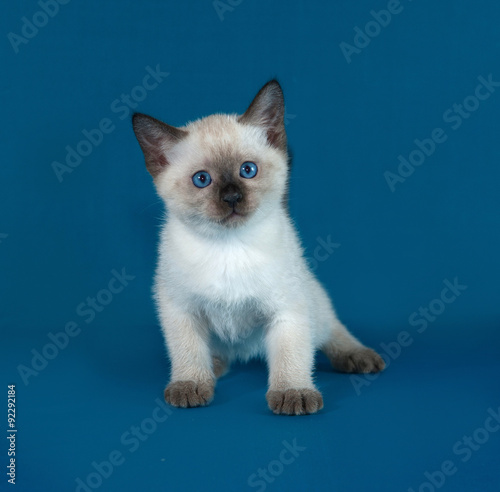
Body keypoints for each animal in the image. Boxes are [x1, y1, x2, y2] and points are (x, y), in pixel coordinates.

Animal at [131, 80, 384, 416]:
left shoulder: (287, 310)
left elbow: (291, 356)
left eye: (248, 170)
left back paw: (358, 357)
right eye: (202, 179)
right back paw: (213, 368)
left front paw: (292, 393)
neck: (229, 246)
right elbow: (187, 352)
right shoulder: (180, 308)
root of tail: (245, 352)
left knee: (330, 330)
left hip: (313, 305)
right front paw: (191, 384)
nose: (232, 197)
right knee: (213, 353)